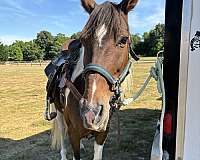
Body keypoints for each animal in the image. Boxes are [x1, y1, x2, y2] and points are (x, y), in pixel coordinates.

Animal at [51, 0, 139, 159]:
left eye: (123, 40)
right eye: (83, 40)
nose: (91, 112)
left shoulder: (102, 134)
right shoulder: (73, 134)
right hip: (59, 113)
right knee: (61, 133)